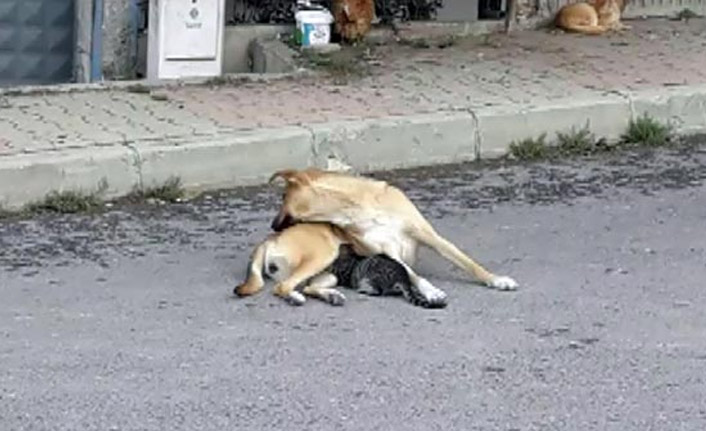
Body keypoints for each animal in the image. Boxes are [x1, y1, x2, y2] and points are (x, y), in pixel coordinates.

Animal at [235, 221, 446, 308]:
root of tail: (271, 238)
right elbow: (412, 275)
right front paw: (433, 292)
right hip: (322, 255)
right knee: (283, 287)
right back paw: (295, 298)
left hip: (329, 275)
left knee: (308, 287)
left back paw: (331, 296)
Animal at [264, 167, 516, 306]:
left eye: (284, 196)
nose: (273, 225)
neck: (358, 208)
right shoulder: (386, 251)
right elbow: (412, 274)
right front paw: (431, 291)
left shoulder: (428, 235)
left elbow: (468, 262)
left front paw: (495, 279)